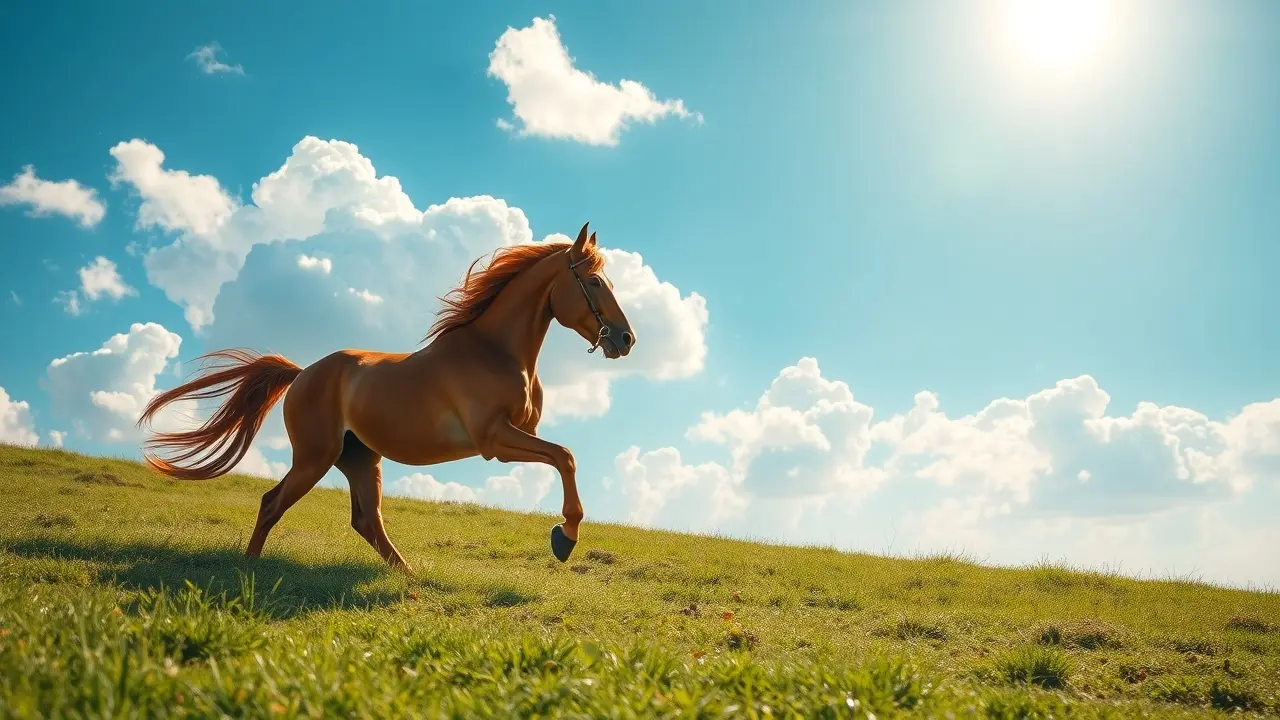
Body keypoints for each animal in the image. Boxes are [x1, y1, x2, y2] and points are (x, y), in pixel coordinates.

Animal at [135, 222, 636, 571]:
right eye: (593, 283)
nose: (625, 339)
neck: (494, 350)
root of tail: (303, 374)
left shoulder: (517, 433)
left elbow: (561, 456)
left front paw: (564, 535)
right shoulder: (494, 441)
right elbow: (565, 456)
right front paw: (564, 538)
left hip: (360, 458)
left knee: (366, 520)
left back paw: (409, 577)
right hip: (315, 457)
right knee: (273, 503)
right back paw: (251, 566)